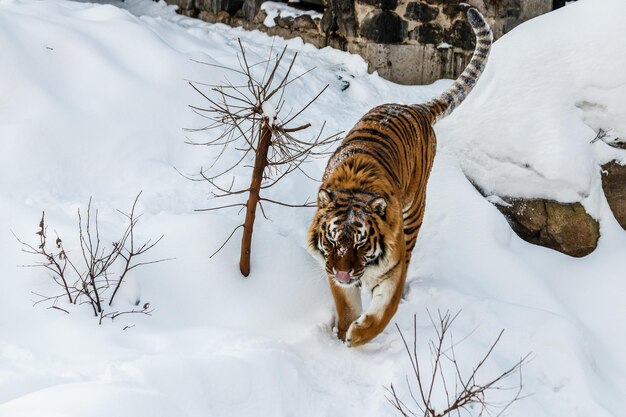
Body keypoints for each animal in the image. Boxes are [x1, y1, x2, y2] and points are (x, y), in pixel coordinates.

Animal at [304, 8, 490, 348]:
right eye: (333, 239)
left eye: (361, 242)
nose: (345, 274)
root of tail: (415, 107)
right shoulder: (331, 266)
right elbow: (346, 305)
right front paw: (343, 333)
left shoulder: (391, 267)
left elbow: (383, 312)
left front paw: (357, 337)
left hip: (414, 212)